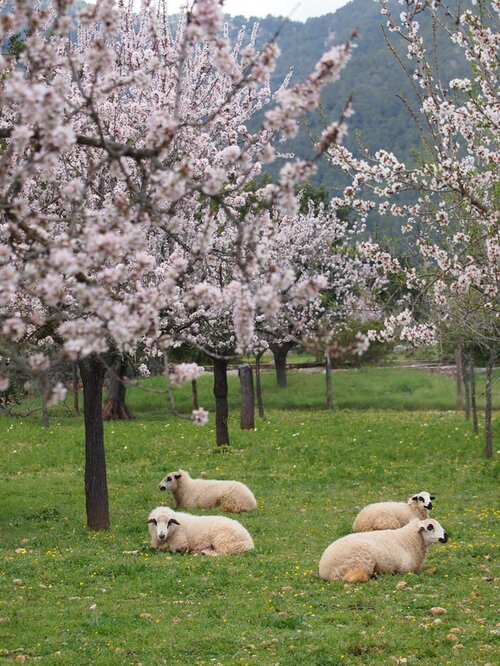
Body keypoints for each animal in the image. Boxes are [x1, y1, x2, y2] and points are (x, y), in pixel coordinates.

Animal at [320, 512, 450, 580]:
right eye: (430, 527)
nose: (446, 536)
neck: (409, 539)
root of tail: (323, 569)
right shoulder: (405, 569)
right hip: (360, 563)